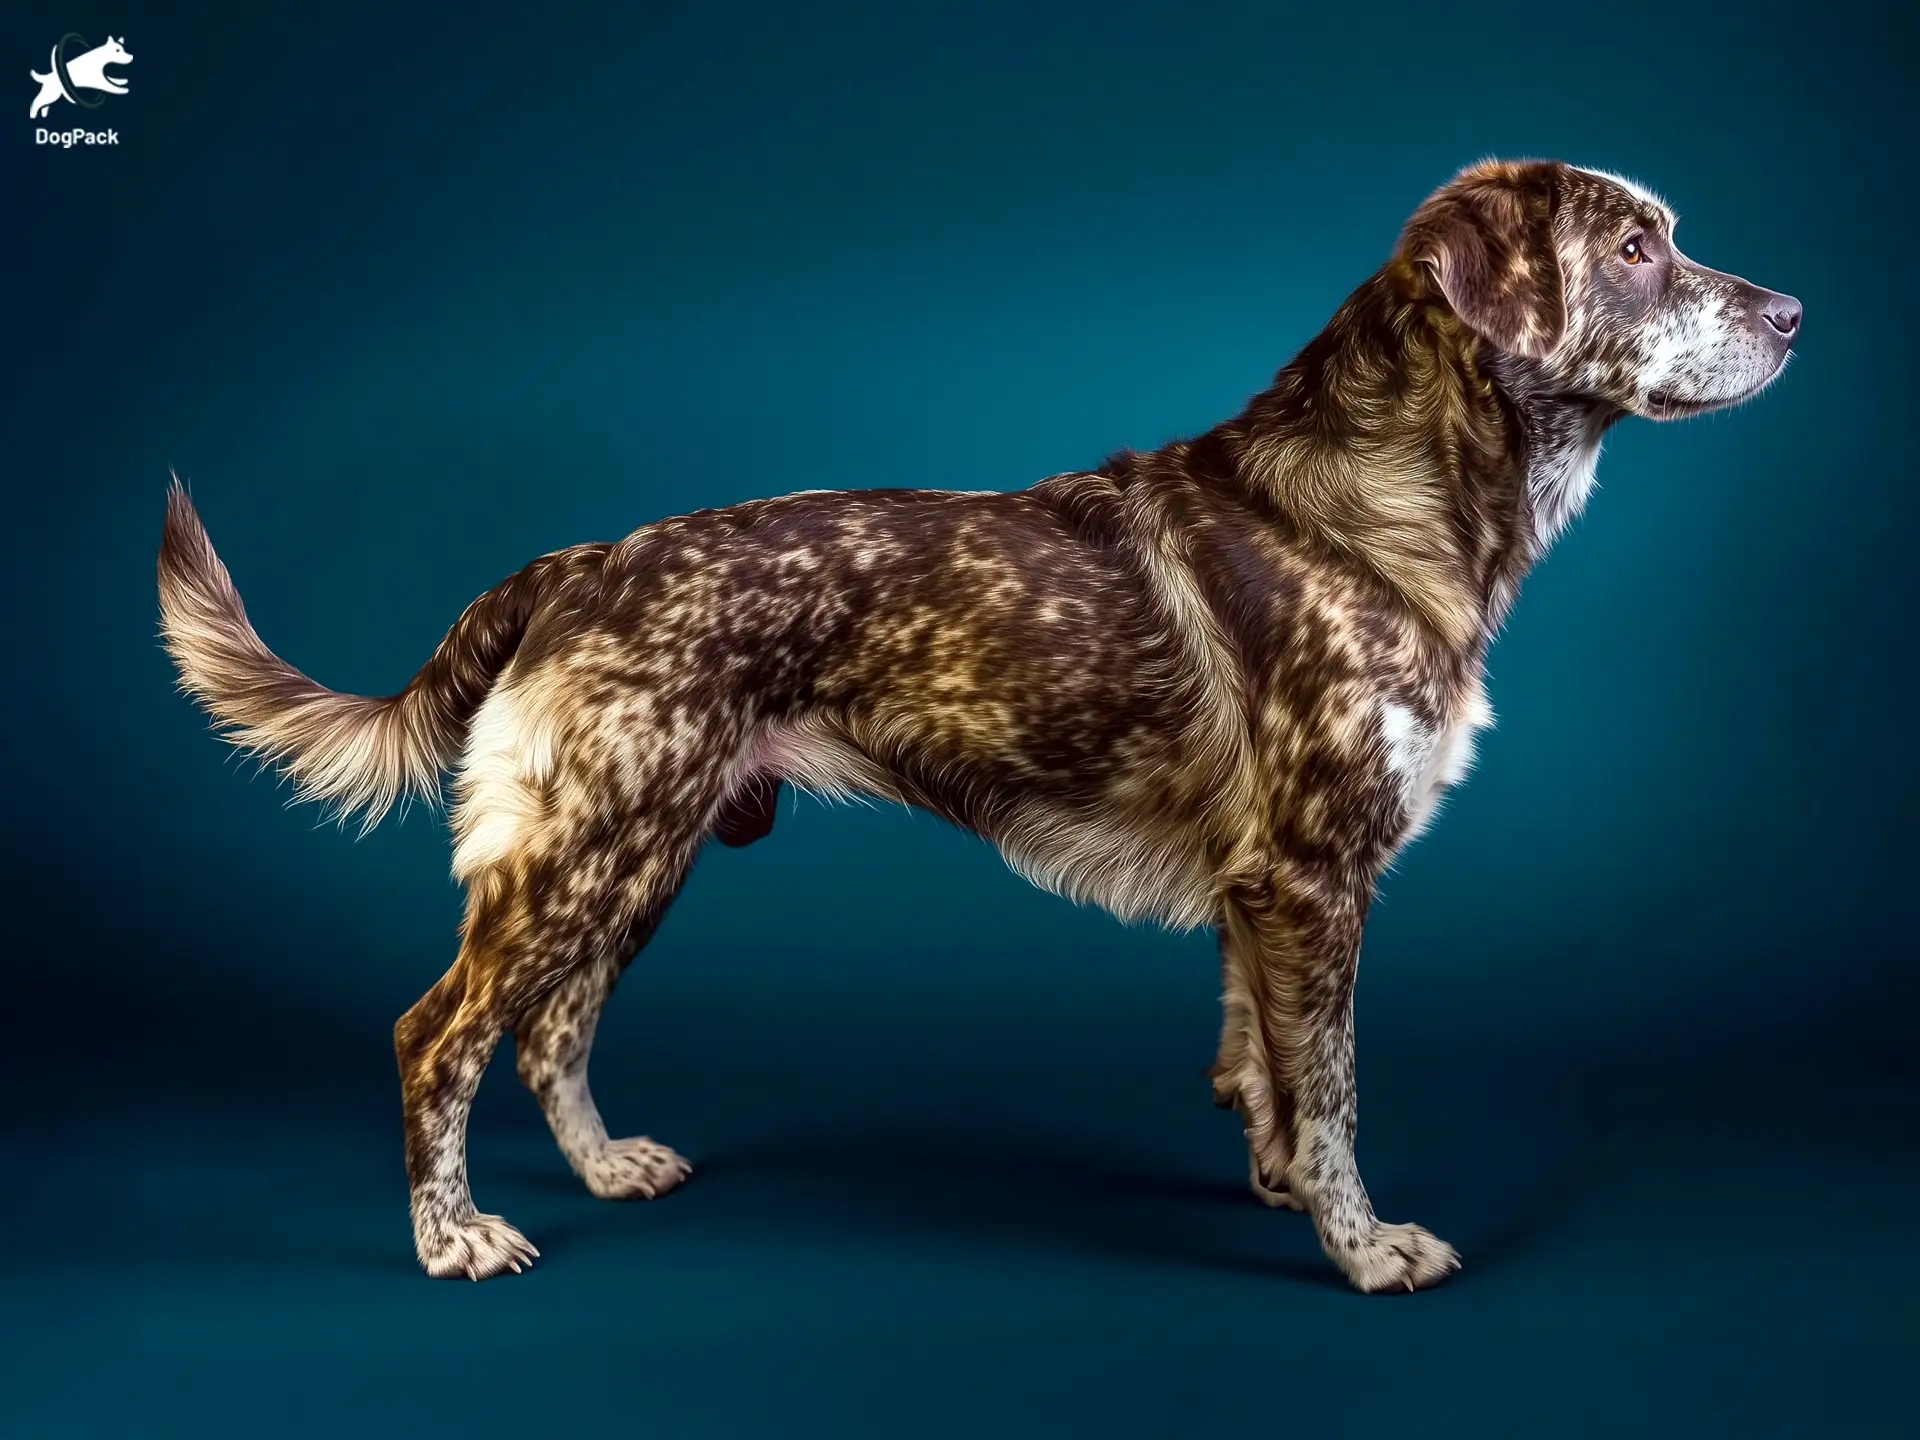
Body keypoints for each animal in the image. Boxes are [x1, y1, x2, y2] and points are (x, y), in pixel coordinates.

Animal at [153, 160, 1797, 1297]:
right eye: (1638, 246)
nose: (1792, 310)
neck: (1376, 504)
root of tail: (580, 559)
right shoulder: (1314, 879)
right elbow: (1329, 1090)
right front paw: (1364, 1246)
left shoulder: (1256, 897)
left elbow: (1260, 1071)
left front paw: (1278, 1190)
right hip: (586, 850)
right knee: (439, 1034)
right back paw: (454, 1237)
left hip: (642, 854)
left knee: (552, 1029)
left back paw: (607, 1168)